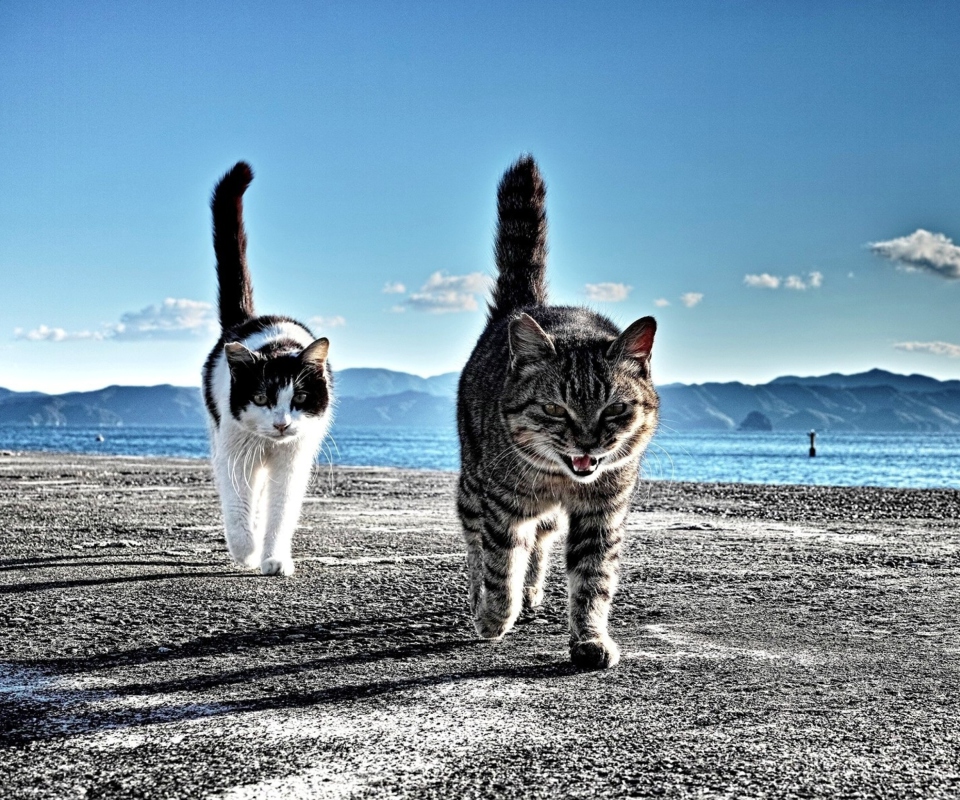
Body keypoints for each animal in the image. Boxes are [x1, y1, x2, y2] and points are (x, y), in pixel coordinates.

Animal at [201, 161, 332, 576]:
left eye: (301, 397)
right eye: (260, 397)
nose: (281, 424)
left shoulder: (293, 461)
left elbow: (281, 511)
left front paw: (273, 557)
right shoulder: (234, 452)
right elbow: (238, 506)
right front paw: (246, 549)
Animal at [458, 155, 660, 668]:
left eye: (615, 408)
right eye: (554, 408)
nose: (588, 441)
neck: (561, 480)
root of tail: (525, 305)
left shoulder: (603, 511)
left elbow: (593, 579)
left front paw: (589, 637)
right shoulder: (502, 504)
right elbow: (498, 563)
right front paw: (494, 616)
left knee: (541, 541)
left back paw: (532, 591)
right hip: (472, 482)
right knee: (477, 542)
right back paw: (482, 598)